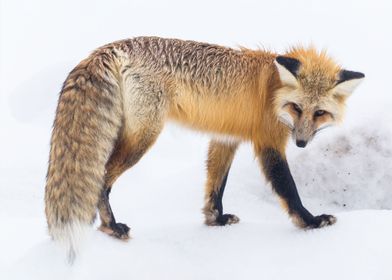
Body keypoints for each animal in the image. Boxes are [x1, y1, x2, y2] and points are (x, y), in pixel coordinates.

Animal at [45, 36, 364, 262]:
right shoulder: (268, 143)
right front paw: (311, 222)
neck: (273, 91)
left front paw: (216, 220)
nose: (300, 143)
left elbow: (215, 186)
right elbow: (288, 189)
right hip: (143, 138)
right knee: (102, 178)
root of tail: (112, 47)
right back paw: (110, 226)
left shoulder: (225, 138)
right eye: (296, 108)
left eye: (320, 113)